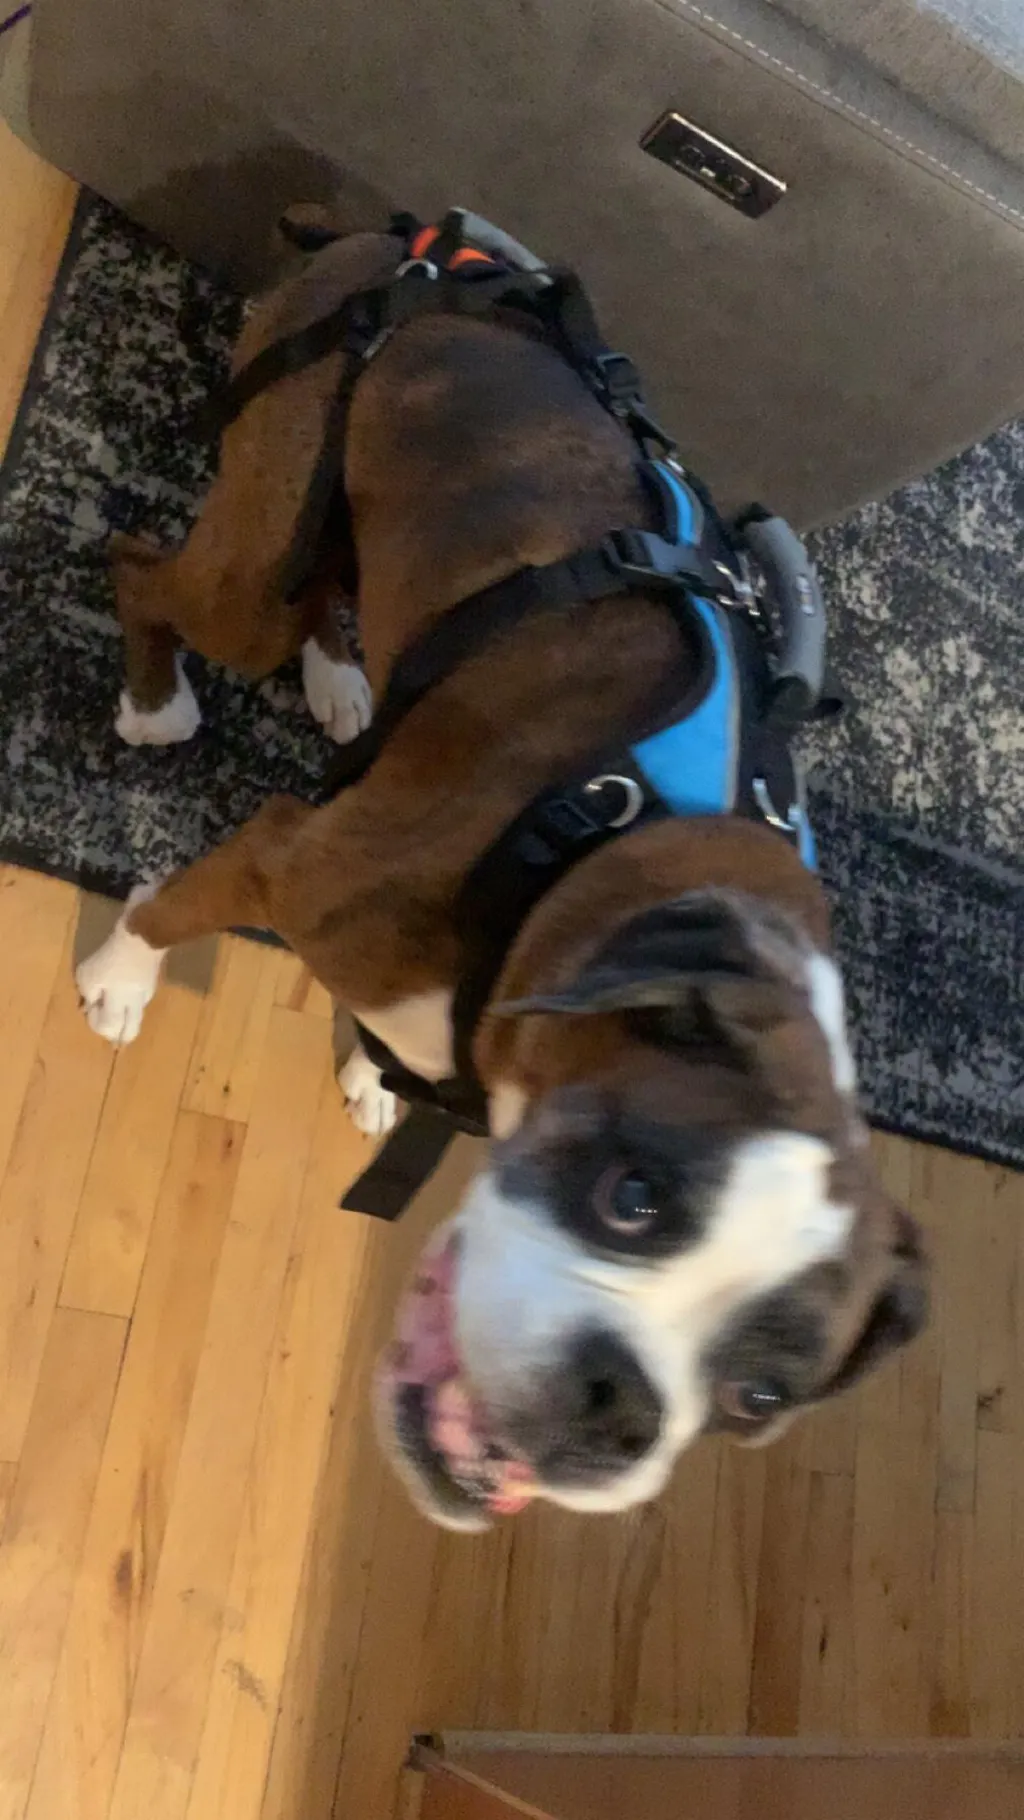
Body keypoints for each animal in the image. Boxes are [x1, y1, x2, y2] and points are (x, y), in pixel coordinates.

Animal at [77, 212, 927, 1530]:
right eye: (631, 1195)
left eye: (757, 1398)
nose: (623, 1406)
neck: (602, 838)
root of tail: (422, 241)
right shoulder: (284, 853)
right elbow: (169, 906)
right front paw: (119, 979)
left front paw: (368, 1065)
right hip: (252, 563)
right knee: (141, 565)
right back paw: (158, 700)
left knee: (330, 592)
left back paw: (339, 676)